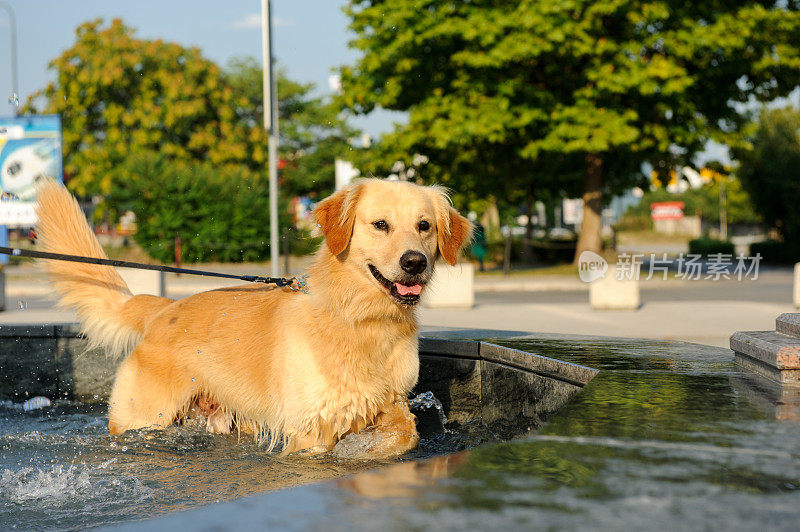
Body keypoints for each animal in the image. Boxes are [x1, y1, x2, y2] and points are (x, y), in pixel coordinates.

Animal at [37, 178, 472, 458]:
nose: (414, 262)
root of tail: (163, 307)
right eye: (380, 225)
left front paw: (365, 449)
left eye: (424, 226)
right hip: (141, 418)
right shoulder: (309, 432)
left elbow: (406, 434)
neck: (358, 318)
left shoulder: (392, 402)